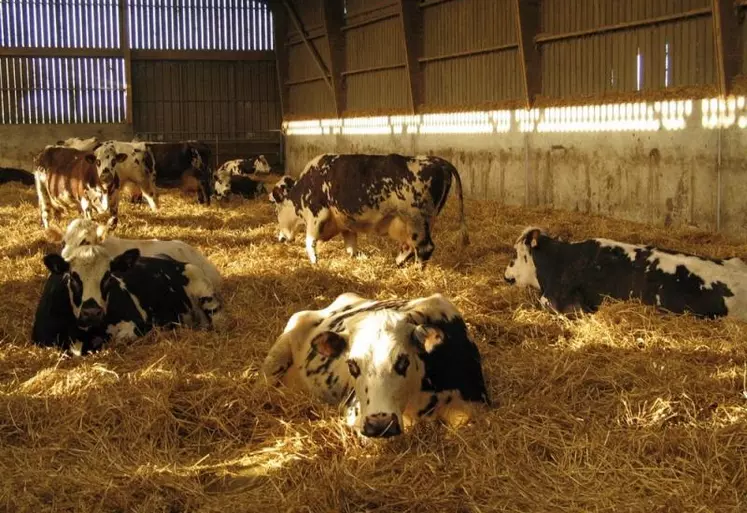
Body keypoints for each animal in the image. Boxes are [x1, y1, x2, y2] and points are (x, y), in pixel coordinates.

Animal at [268, 152, 468, 266]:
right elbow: (351, 246)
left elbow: (309, 242)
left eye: (276, 210)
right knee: (410, 246)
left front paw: (314, 263)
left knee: (424, 248)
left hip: (417, 220)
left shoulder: (316, 215)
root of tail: (438, 161)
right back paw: (398, 263)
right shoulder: (345, 222)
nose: (280, 238)